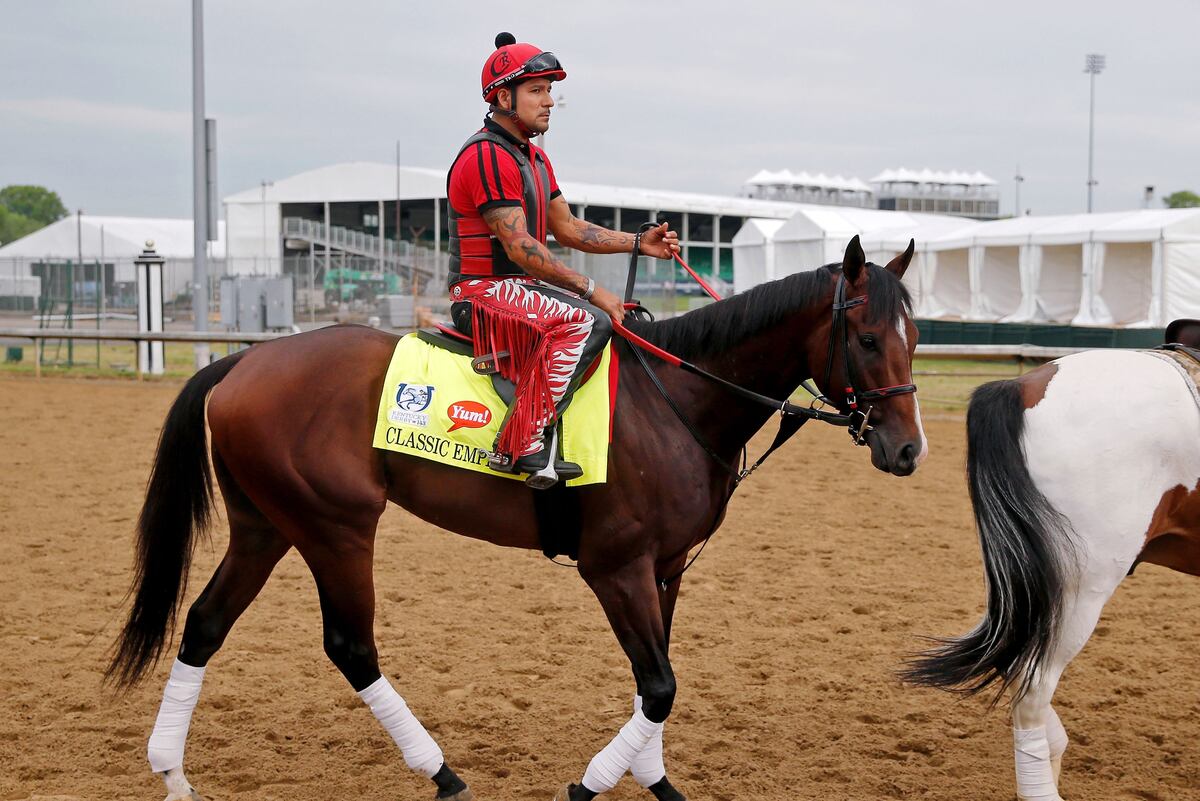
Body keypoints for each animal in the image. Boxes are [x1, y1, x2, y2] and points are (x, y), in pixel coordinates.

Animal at [107, 236, 926, 801]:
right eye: (866, 339)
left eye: (917, 338)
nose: (908, 448)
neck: (676, 400)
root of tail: (241, 363)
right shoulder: (616, 569)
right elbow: (659, 685)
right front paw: (591, 782)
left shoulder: (666, 570)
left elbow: (655, 680)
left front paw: (656, 781)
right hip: (335, 527)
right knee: (351, 646)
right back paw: (441, 772)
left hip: (267, 526)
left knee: (205, 624)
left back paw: (172, 772)